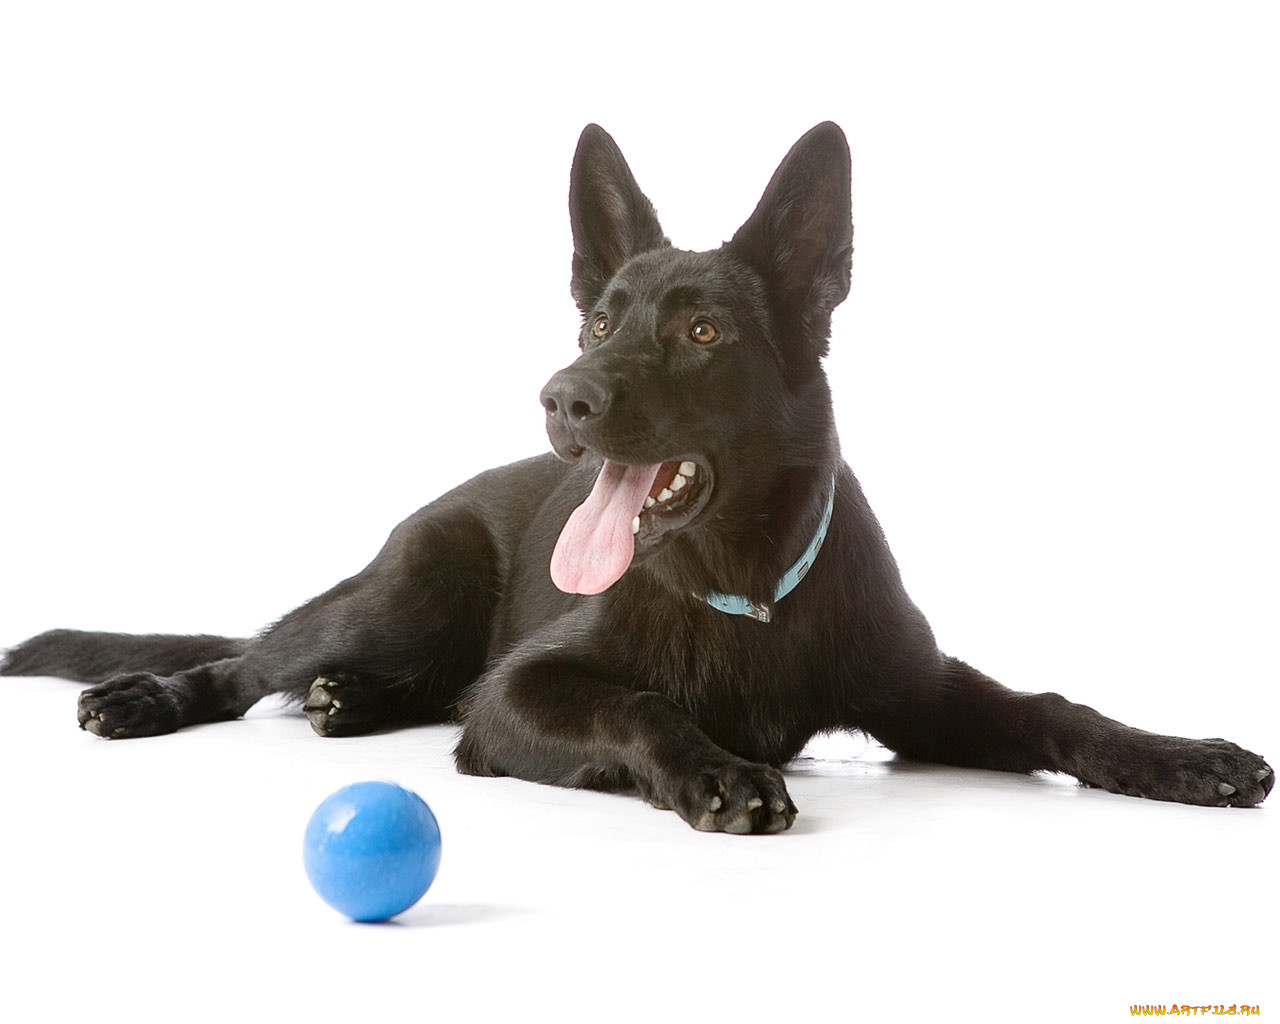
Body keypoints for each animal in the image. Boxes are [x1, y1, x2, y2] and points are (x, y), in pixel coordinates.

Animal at [5, 126, 1274, 829]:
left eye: (703, 333)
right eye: (599, 321)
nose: (561, 396)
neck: (746, 585)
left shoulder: (919, 692)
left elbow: (1055, 708)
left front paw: (1183, 759)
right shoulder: (521, 696)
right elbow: (637, 700)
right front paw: (713, 769)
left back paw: (350, 701)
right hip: (408, 587)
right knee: (252, 660)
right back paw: (155, 696)